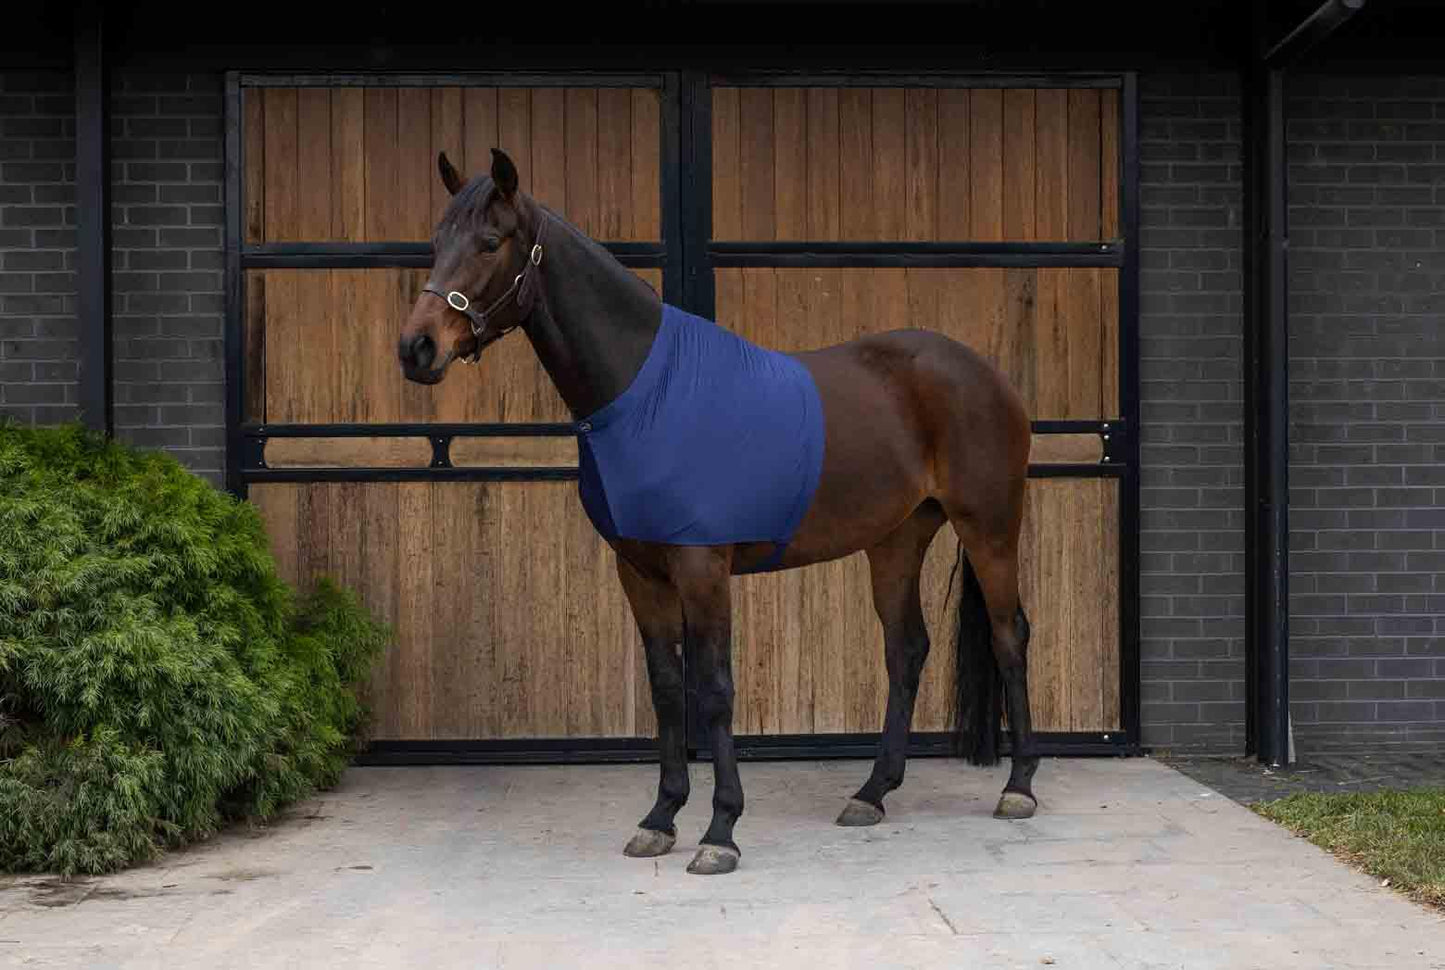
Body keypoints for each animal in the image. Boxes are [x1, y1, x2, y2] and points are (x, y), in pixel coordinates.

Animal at [397, 147, 1037, 876]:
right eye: (436, 241)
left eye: (490, 242)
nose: (417, 348)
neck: (649, 394)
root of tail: (983, 372)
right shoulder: (640, 573)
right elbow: (666, 688)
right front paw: (660, 817)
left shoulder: (702, 569)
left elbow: (714, 689)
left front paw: (719, 830)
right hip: (897, 539)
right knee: (905, 650)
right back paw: (872, 793)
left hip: (989, 527)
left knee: (1009, 635)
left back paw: (1018, 786)